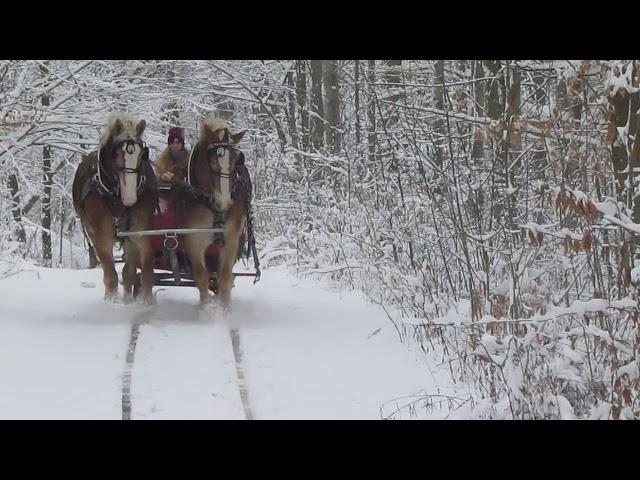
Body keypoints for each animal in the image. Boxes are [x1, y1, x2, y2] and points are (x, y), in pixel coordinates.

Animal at [72, 112, 157, 304]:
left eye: (142, 155)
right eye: (116, 154)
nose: (130, 198)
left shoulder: (140, 231)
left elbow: (144, 271)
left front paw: (146, 302)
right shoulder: (101, 236)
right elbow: (111, 276)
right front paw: (112, 302)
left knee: (128, 272)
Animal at [175, 117, 250, 312]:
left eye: (237, 159)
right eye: (212, 160)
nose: (224, 202)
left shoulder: (231, 239)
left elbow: (224, 277)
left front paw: (225, 311)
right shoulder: (193, 240)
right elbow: (201, 277)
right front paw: (206, 310)